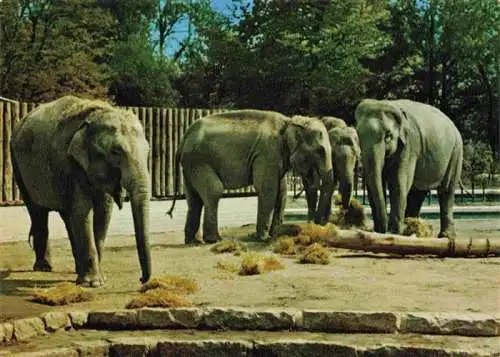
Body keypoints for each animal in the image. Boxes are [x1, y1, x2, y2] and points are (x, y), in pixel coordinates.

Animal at [10, 94, 151, 286]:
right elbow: (83, 210)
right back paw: (44, 267)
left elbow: (103, 212)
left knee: (67, 215)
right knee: (37, 211)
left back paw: (76, 269)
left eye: (148, 151)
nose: (141, 279)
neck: (95, 114)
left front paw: (99, 279)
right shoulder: (69, 163)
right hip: (18, 166)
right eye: (116, 152)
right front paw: (92, 283)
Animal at [168, 108, 336, 242]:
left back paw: (193, 241)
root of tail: (183, 139)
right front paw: (262, 238)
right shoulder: (267, 153)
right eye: (320, 151)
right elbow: (268, 190)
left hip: (190, 165)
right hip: (199, 160)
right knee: (213, 191)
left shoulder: (277, 156)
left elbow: (281, 192)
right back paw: (214, 240)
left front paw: (273, 236)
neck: (289, 121)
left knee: (193, 199)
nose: (317, 226)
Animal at [354, 98, 462, 236]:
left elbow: (399, 182)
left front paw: (394, 232)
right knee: (418, 193)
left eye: (388, 136)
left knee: (446, 190)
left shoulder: (410, 145)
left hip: (456, 152)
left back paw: (445, 236)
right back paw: (412, 230)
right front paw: (383, 232)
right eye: (358, 135)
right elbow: (374, 183)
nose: (382, 230)